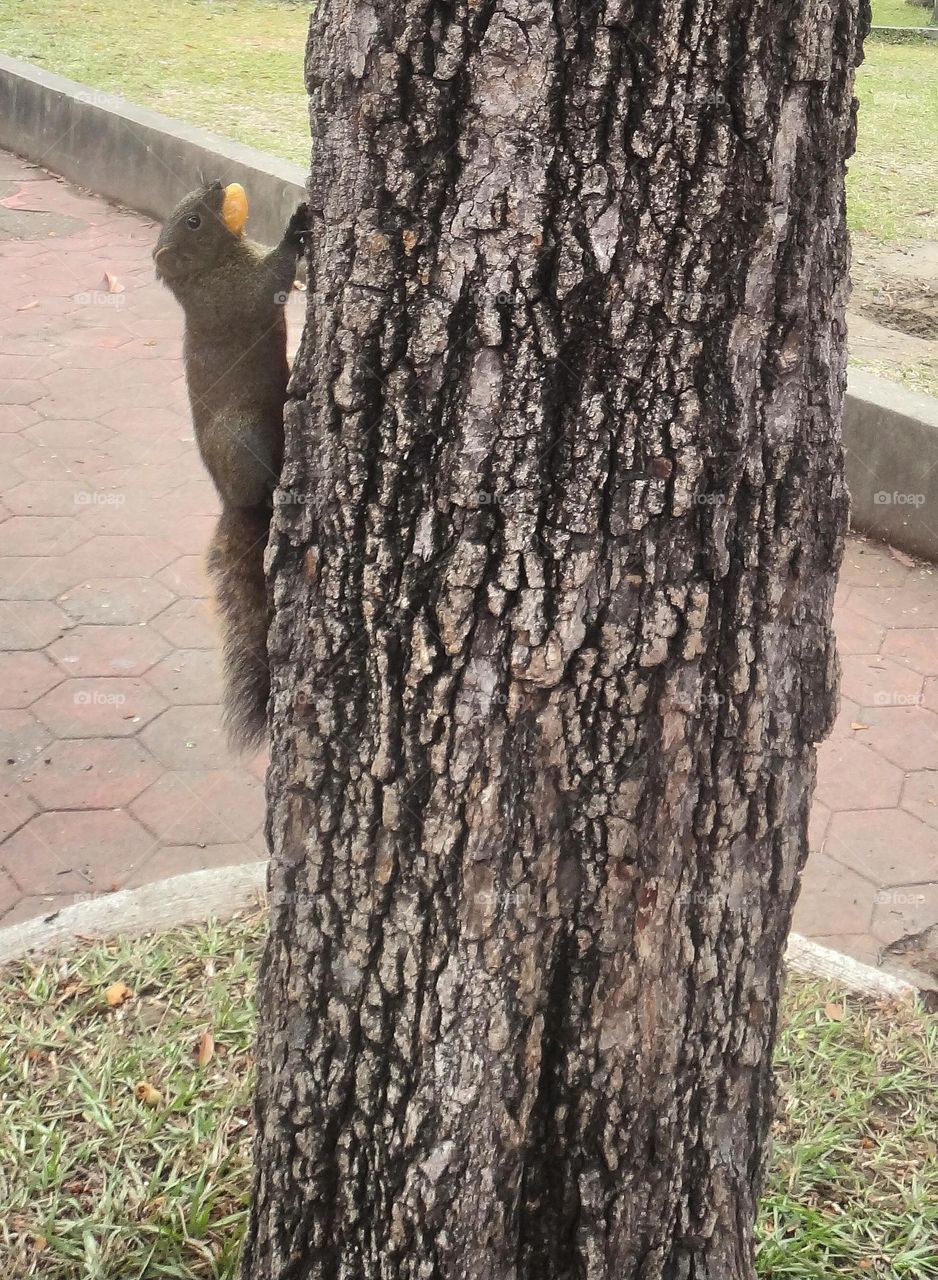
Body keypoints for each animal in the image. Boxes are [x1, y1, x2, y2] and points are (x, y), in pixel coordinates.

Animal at [152, 175, 307, 747]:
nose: (218, 183)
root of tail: (231, 502)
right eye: (193, 221)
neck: (211, 267)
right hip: (245, 435)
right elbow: (271, 281)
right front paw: (298, 225)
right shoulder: (237, 297)